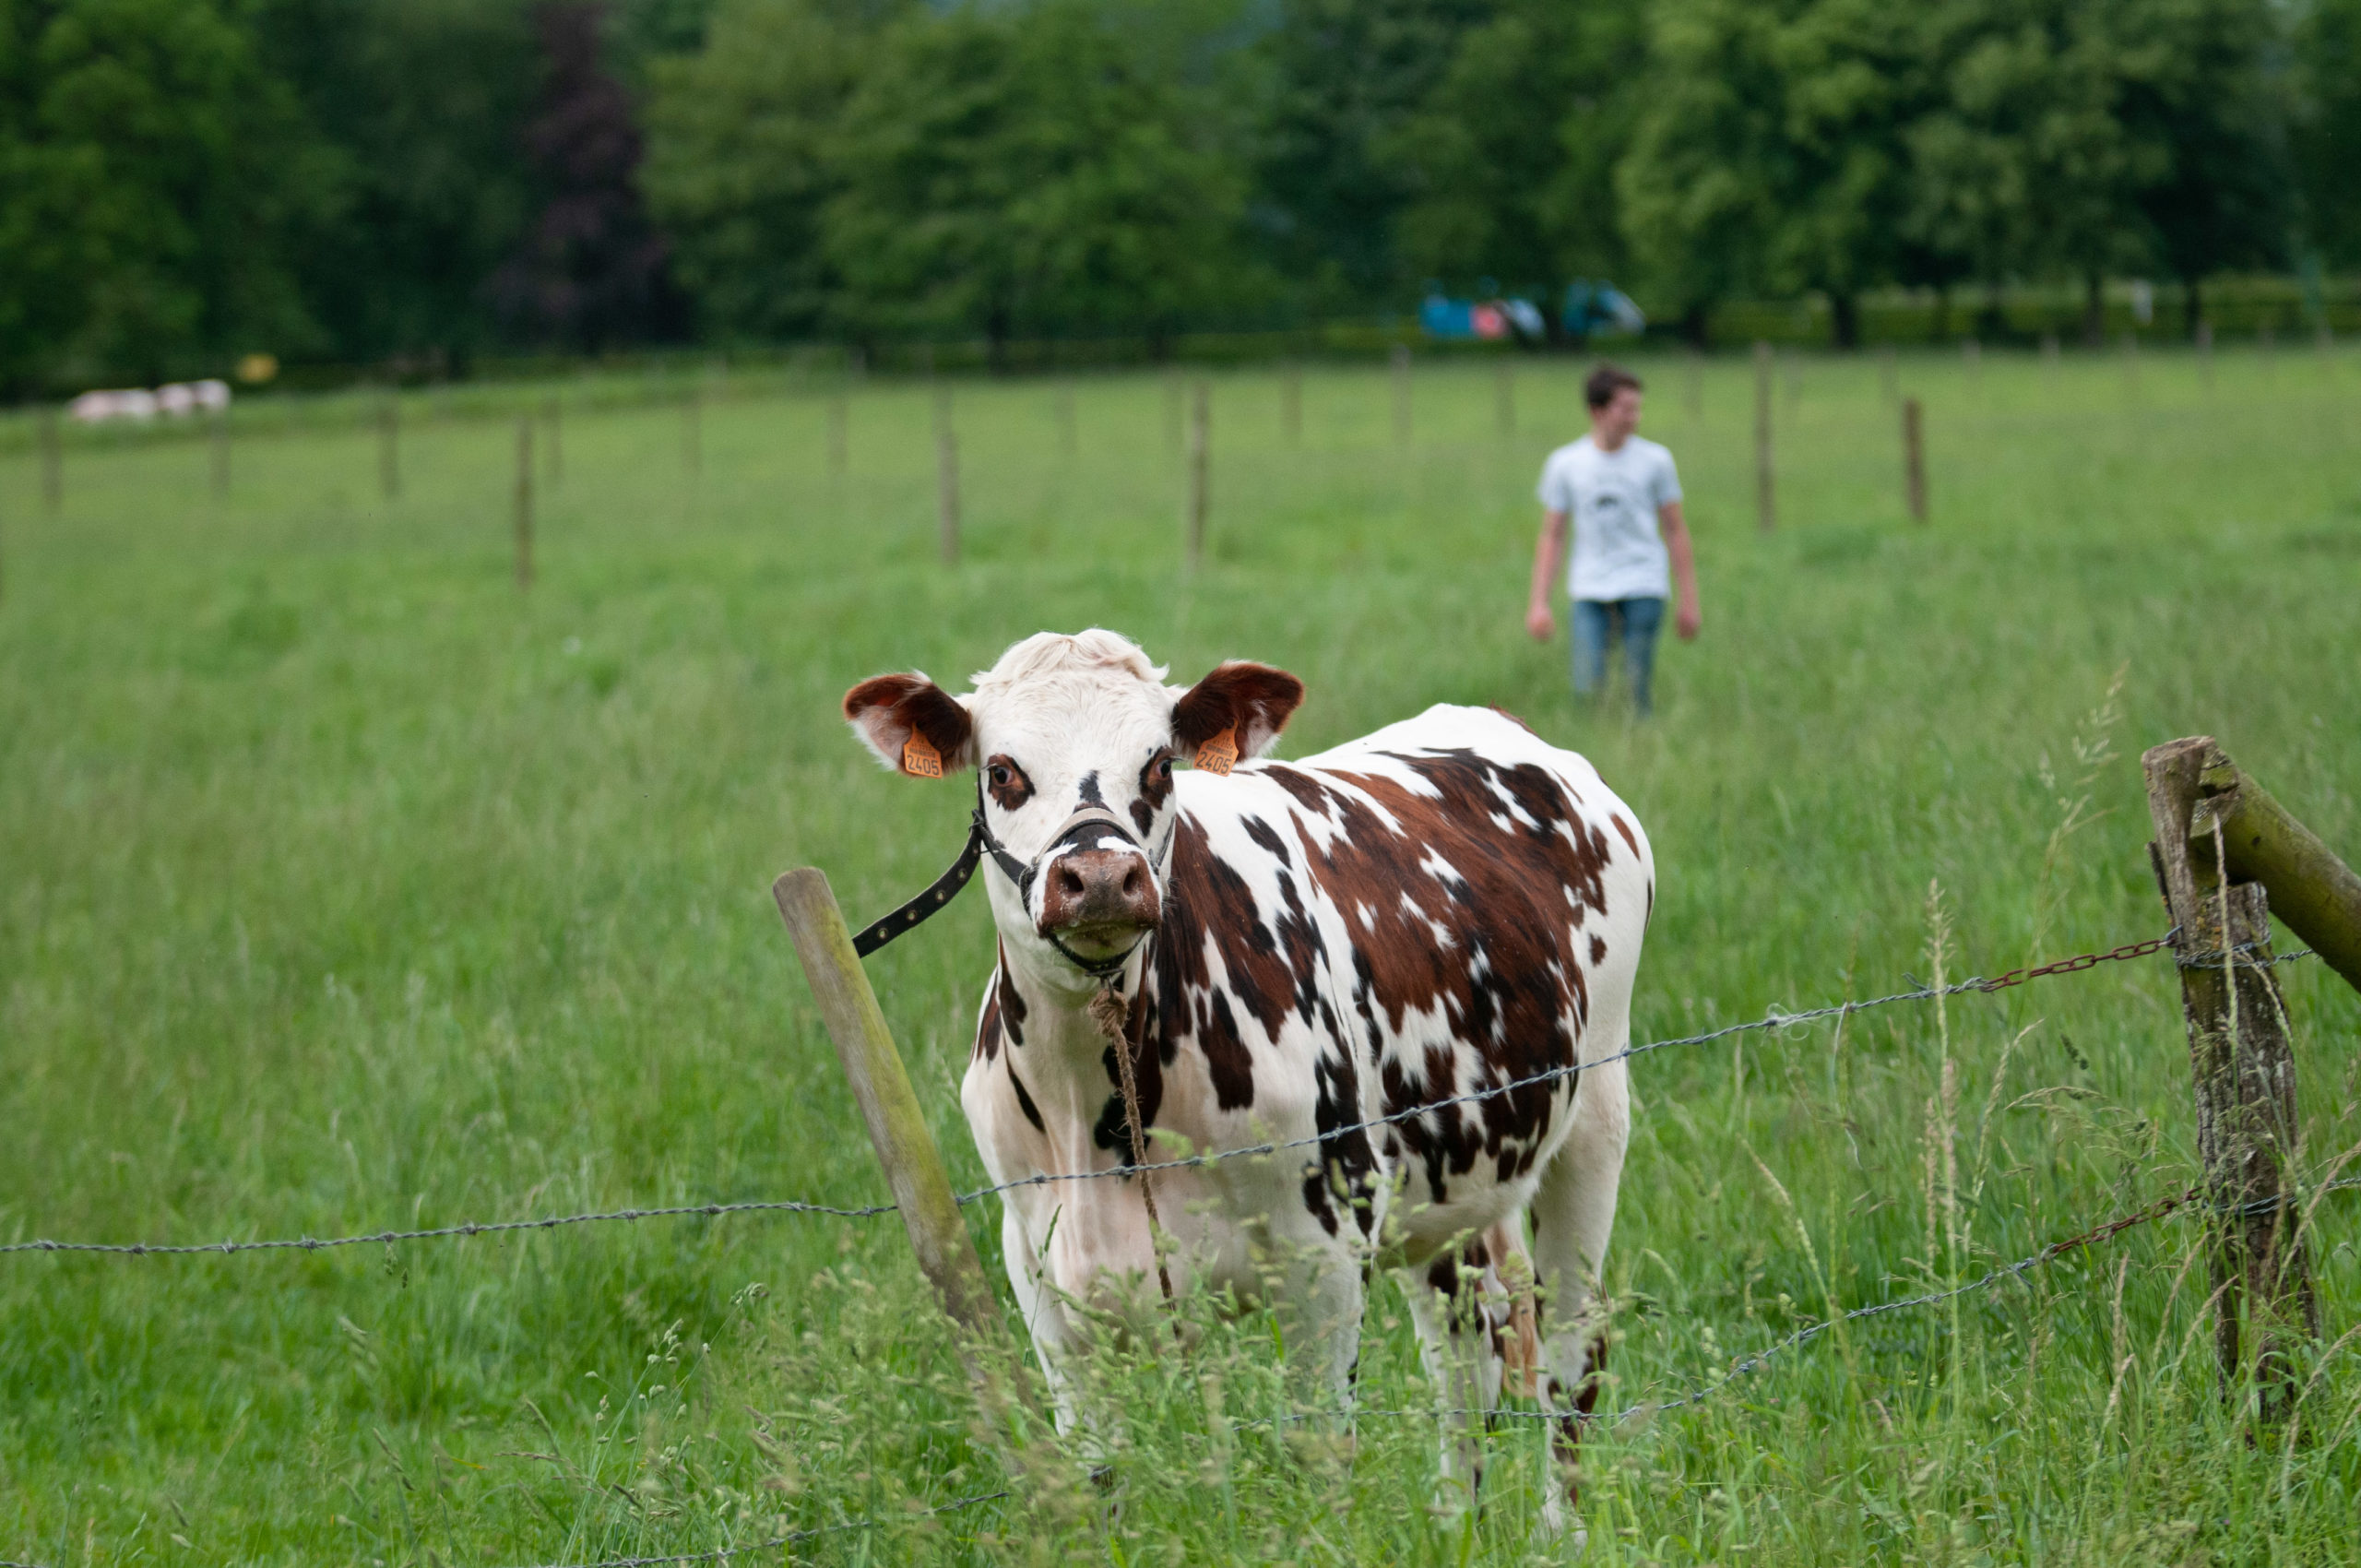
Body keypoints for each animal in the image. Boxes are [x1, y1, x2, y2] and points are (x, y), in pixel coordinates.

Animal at [845, 628, 1643, 1530]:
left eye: (1160, 765)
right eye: (1003, 771)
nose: (1101, 877)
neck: (1098, 1108)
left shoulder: (1325, 1252)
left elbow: (1319, 1457)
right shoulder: (1044, 1283)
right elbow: (1097, 1476)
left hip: (1595, 1119)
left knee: (1572, 1352)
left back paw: (1559, 1532)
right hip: (1450, 1183)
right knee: (1466, 1358)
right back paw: (1455, 1529)